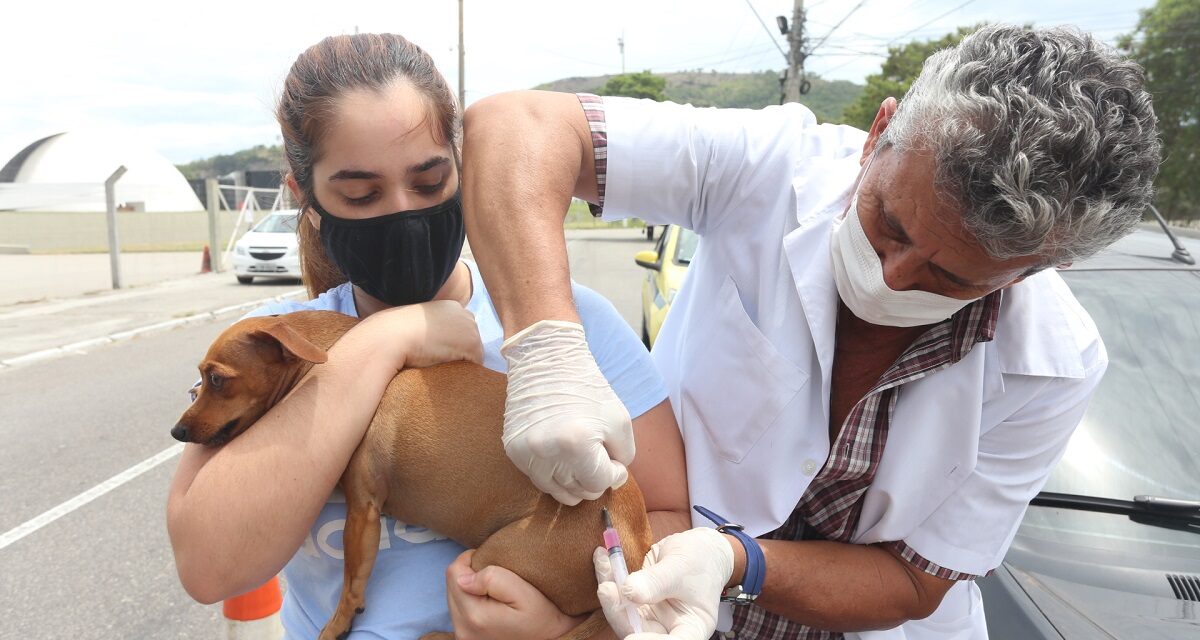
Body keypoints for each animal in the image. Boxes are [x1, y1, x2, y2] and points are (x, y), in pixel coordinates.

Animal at [174, 307, 652, 633]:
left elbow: (352, 581)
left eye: (215, 379)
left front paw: (338, 623)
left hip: (490, 559)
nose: (178, 431)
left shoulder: (363, 509)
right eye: (197, 383)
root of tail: (634, 546)